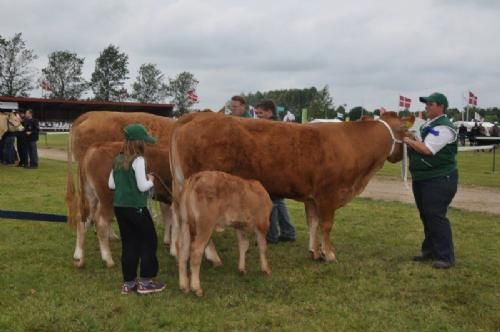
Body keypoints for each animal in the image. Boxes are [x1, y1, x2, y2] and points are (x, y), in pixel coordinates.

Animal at [170, 113, 412, 264]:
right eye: (405, 132)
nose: (401, 155)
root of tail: (197, 116)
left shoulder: (312, 197)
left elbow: (313, 222)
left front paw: (315, 252)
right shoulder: (328, 194)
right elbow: (326, 225)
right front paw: (329, 254)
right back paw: (213, 257)